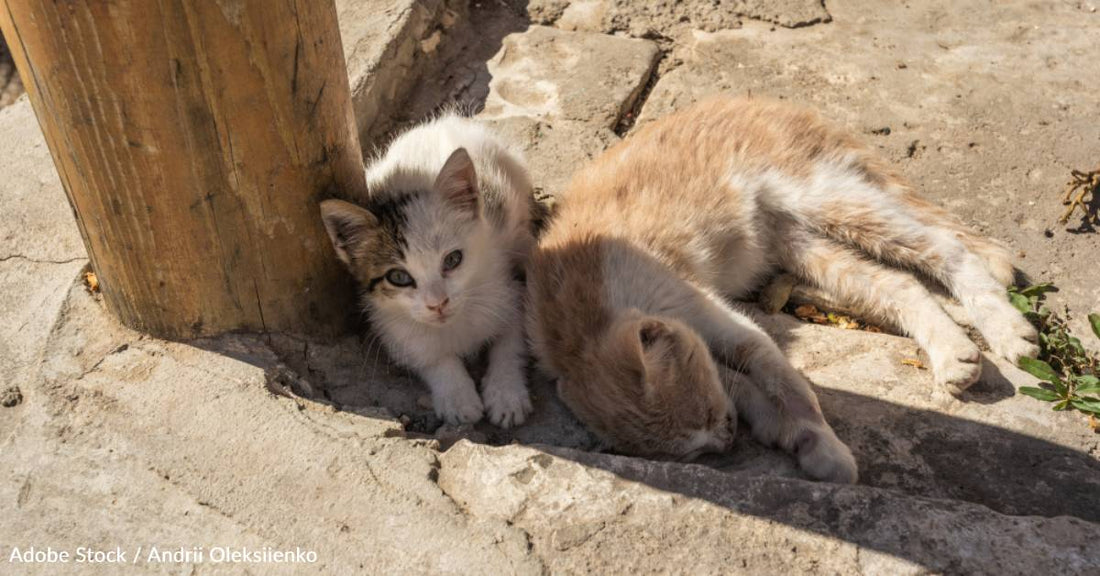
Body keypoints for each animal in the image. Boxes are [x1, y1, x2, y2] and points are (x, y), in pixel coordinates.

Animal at [321, 113, 534, 426]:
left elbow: (509, 344)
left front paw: (505, 394)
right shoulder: (395, 331)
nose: (438, 304)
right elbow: (431, 357)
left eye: (453, 260)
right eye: (399, 277)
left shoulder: (510, 286)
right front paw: (458, 397)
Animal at [528, 96, 1034, 483]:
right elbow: (751, 389)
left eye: (707, 415)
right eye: (695, 449)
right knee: (900, 283)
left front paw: (826, 448)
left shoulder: (717, 318)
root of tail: (771, 103)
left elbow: (789, 385)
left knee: (949, 247)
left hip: (825, 197)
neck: (579, 319)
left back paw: (1006, 330)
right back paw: (952, 353)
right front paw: (788, 433)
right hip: (807, 246)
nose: (727, 439)